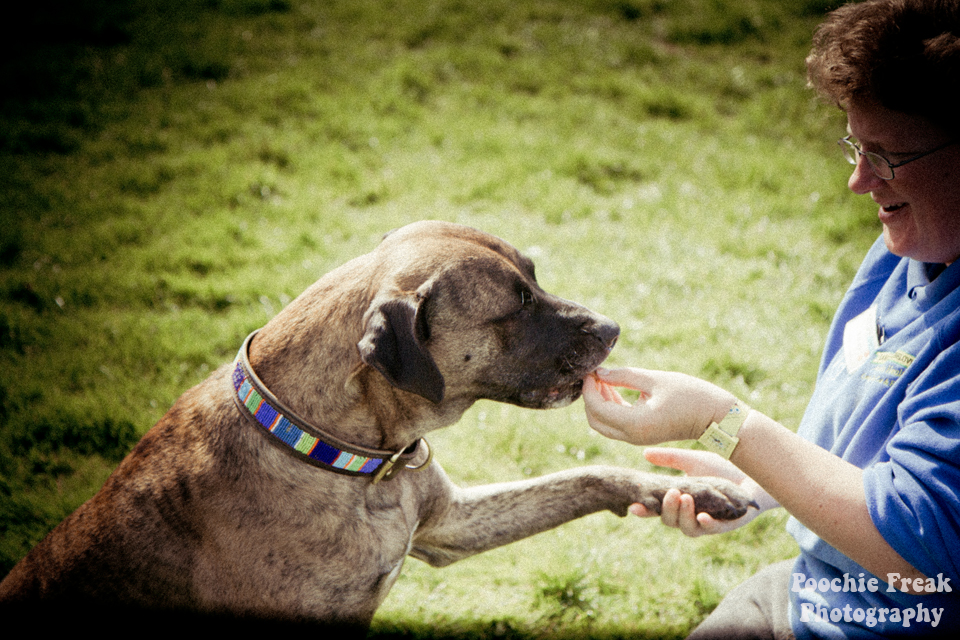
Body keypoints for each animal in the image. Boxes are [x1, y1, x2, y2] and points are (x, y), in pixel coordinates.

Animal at [0, 222, 752, 632]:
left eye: (534, 277)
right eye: (512, 307)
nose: (611, 328)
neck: (351, 456)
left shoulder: (450, 525)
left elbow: (584, 476)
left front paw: (697, 493)